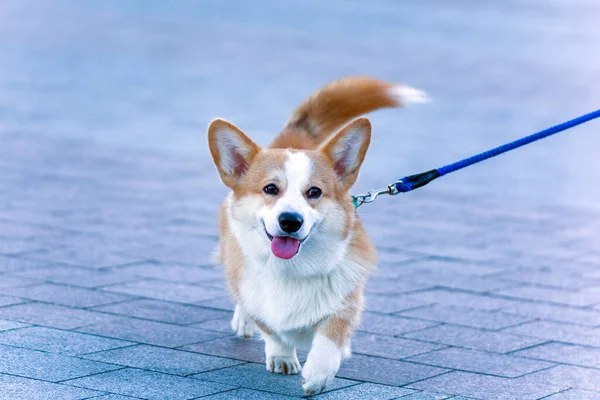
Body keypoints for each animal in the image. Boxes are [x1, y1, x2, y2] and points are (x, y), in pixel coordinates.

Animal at [206, 76, 426, 396]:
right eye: (270, 189)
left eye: (315, 192)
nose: (290, 221)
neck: (291, 270)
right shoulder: (257, 297)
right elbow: (272, 330)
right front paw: (282, 357)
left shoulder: (347, 301)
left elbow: (331, 336)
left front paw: (319, 373)